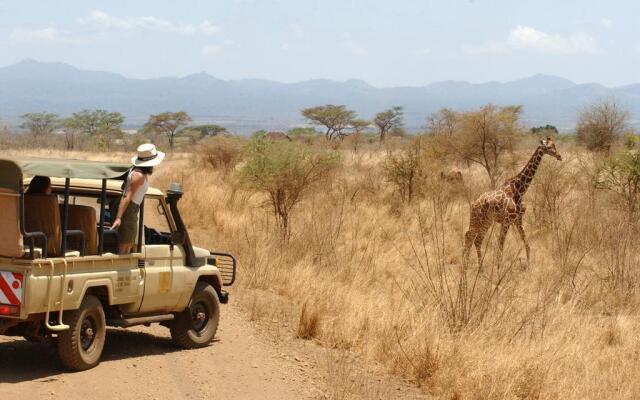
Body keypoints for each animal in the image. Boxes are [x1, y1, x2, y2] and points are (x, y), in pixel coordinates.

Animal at [462, 138, 564, 266]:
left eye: (554, 145)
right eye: (549, 147)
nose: (559, 156)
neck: (519, 190)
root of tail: (474, 204)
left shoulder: (518, 220)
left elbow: (527, 244)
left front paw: (529, 266)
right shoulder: (506, 221)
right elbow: (500, 247)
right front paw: (499, 268)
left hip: (487, 221)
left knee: (477, 240)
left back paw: (479, 267)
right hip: (477, 219)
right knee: (469, 236)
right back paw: (466, 266)